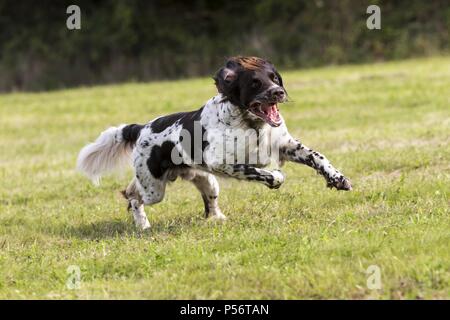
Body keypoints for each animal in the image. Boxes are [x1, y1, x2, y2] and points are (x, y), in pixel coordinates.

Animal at [76, 56, 352, 229]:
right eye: (255, 83)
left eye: (275, 78)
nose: (278, 92)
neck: (251, 124)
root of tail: (141, 127)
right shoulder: (222, 163)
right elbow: (262, 172)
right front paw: (276, 178)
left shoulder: (285, 146)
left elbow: (317, 157)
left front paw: (338, 179)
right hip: (154, 187)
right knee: (132, 196)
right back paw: (143, 225)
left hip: (206, 180)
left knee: (207, 203)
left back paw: (218, 219)